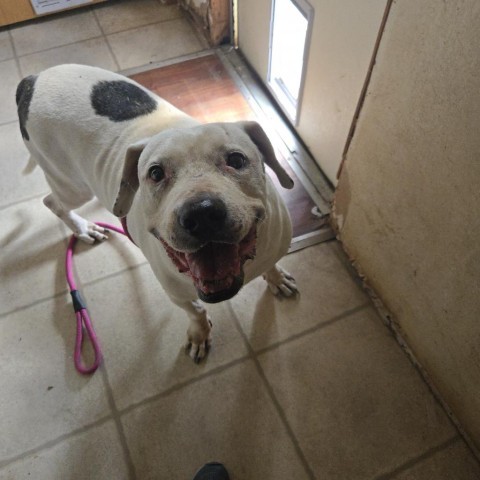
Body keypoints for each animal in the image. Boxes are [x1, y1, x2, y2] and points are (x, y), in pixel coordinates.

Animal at [15, 64, 296, 360]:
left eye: (236, 159)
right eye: (156, 173)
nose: (201, 214)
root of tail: (33, 79)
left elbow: (271, 265)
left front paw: (276, 278)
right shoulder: (175, 293)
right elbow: (195, 310)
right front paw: (200, 333)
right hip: (71, 184)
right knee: (52, 202)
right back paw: (83, 229)